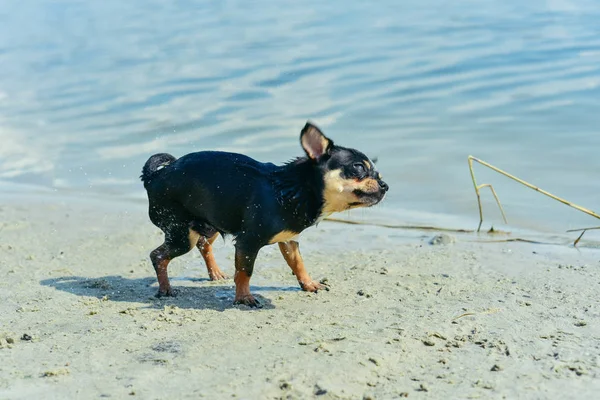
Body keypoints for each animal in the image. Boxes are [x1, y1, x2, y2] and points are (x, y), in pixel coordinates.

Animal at [144, 122, 392, 306]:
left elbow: (298, 264)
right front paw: (244, 298)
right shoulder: (247, 243)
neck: (293, 190)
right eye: (359, 168)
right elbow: (245, 272)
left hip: (210, 222)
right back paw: (165, 289)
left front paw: (309, 284)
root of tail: (154, 177)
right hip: (181, 234)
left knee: (203, 244)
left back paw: (214, 273)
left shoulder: (289, 240)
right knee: (158, 255)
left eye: (377, 173)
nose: (385, 185)